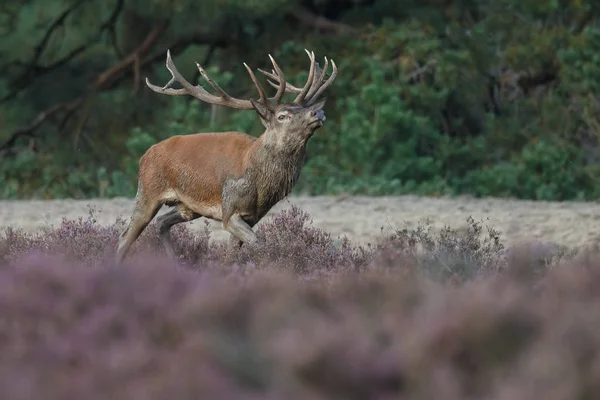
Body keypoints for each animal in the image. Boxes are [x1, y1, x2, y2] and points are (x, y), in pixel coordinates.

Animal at [113, 47, 338, 266]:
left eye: (303, 108)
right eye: (282, 116)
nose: (317, 113)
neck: (262, 185)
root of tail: (145, 155)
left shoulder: (253, 215)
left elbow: (232, 254)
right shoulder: (230, 210)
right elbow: (261, 244)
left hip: (187, 207)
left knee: (161, 222)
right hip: (147, 191)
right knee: (125, 237)